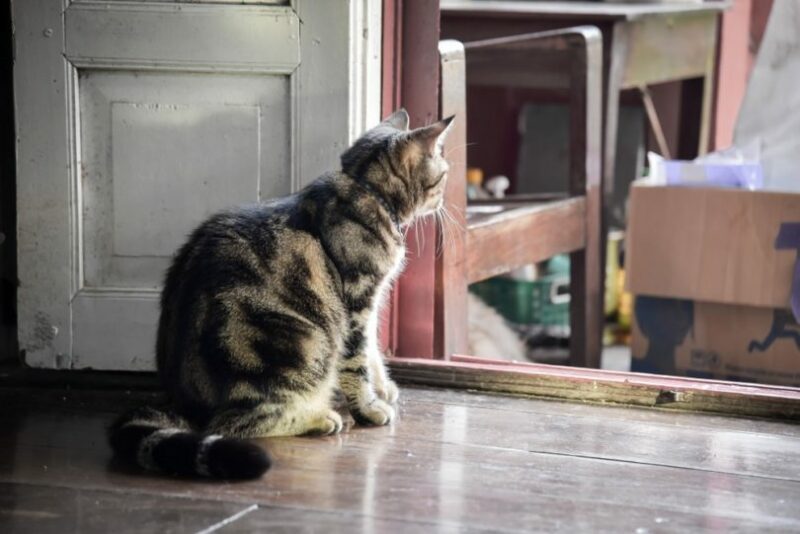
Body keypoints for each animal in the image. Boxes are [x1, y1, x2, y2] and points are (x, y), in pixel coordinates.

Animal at [109, 110, 454, 482]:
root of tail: (184, 404)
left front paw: (384, 388)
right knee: (237, 423)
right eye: (444, 174)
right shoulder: (358, 301)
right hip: (302, 345)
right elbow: (357, 361)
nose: (445, 198)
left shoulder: (371, 305)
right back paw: (320, 417)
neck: (366, 189)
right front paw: (371, 407)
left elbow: (374, 352)